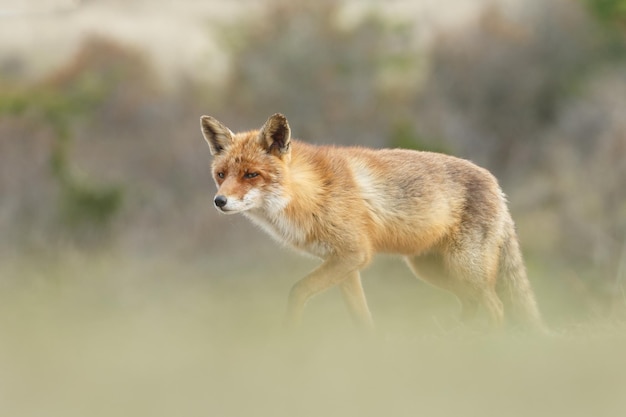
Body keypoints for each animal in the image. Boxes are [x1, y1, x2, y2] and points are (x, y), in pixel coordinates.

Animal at [200, 112, 540, 330]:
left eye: (251, 174)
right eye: (221, 175)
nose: (219, 201)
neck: (310, 193)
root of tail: (496, 183)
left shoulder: (354, 253)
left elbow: (296, 291)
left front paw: (290, 335)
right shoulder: (343, 264)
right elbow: (361, 317)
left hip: (463, 268)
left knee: (496, 307)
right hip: (433, 270)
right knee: (473, 304)